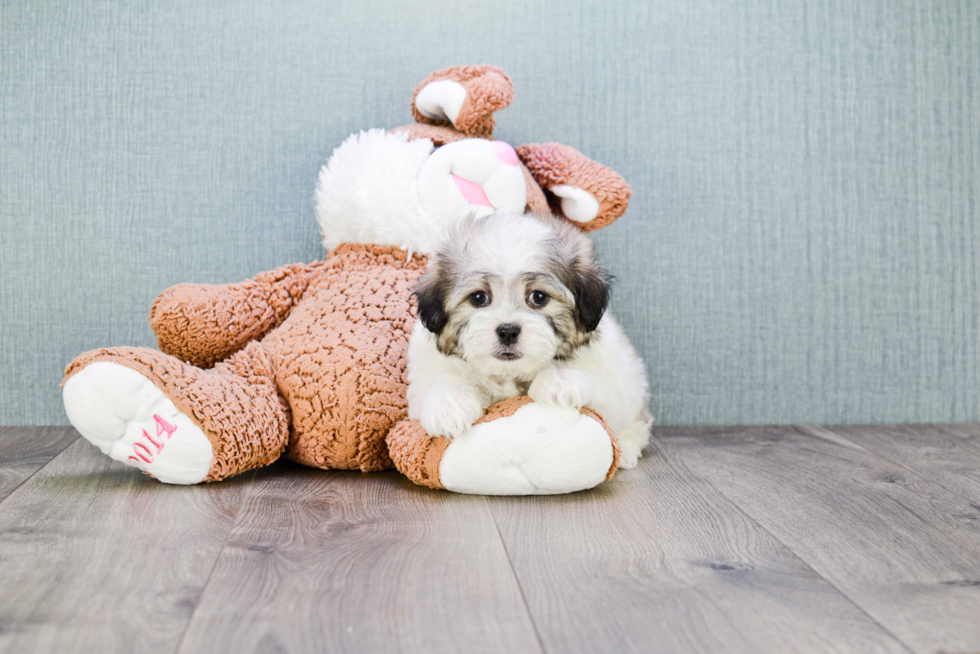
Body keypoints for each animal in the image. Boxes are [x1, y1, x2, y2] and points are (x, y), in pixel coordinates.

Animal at [406, 213, 652, 468]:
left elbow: (594, 381)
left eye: (539, 297)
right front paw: (448, 406)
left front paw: (558, 381)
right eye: (479, 297)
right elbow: (445, 378)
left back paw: (627, 449)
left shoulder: (612, 380)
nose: (508, 331)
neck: (510, 373)